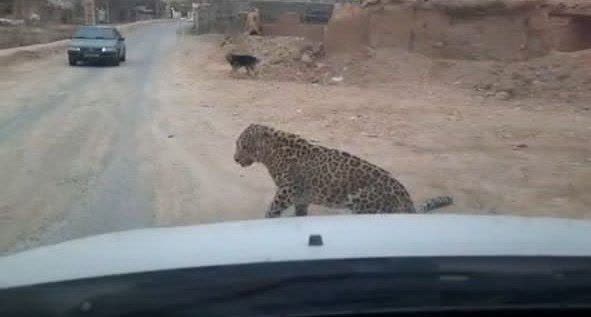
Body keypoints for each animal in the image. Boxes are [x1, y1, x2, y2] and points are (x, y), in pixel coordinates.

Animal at [232, 123, 454, 217]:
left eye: (243, 145)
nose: (235, 159)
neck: (270, 154)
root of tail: (407, 203)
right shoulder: (301, 196)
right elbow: (300, 212)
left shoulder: (288, 189)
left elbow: (273, 208)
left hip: (360, 197)